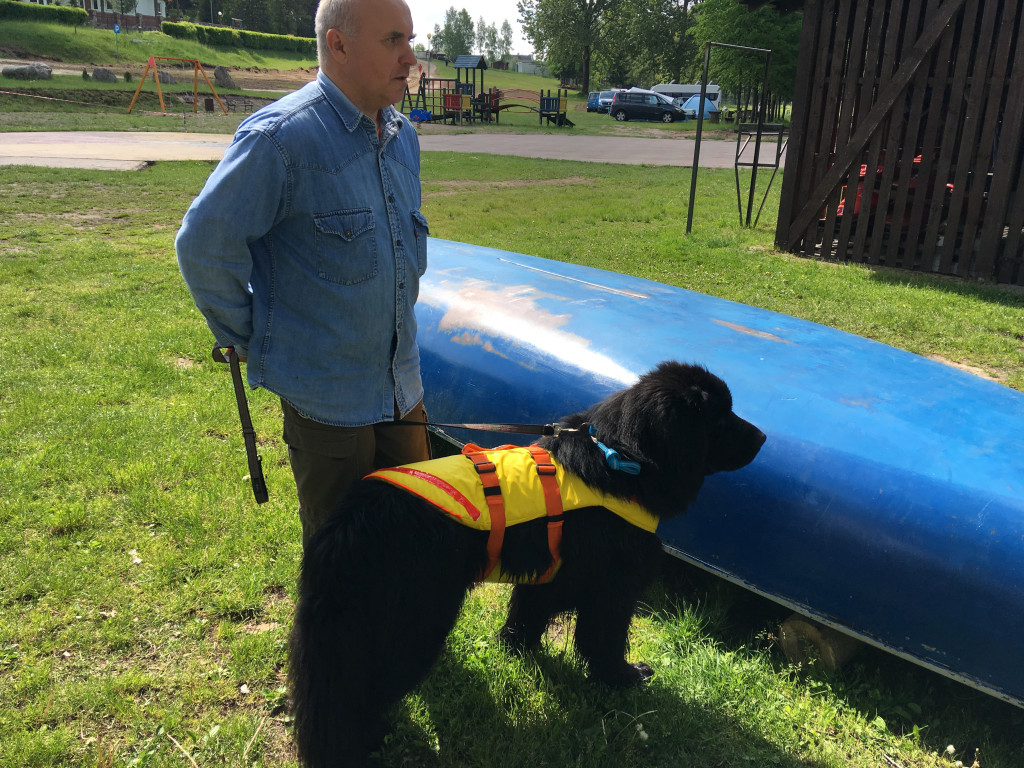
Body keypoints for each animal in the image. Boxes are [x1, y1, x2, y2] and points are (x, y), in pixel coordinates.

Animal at [288, 364, 761, 765]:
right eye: (721, 418)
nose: (762, 438)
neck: (622, 457)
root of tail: (349, 522)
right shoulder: (613, 590)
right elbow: (604, 641)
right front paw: (624, 678)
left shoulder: (553, 574)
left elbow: (529, 614)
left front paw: (516, 648)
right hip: (413, 626)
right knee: (358, 696)